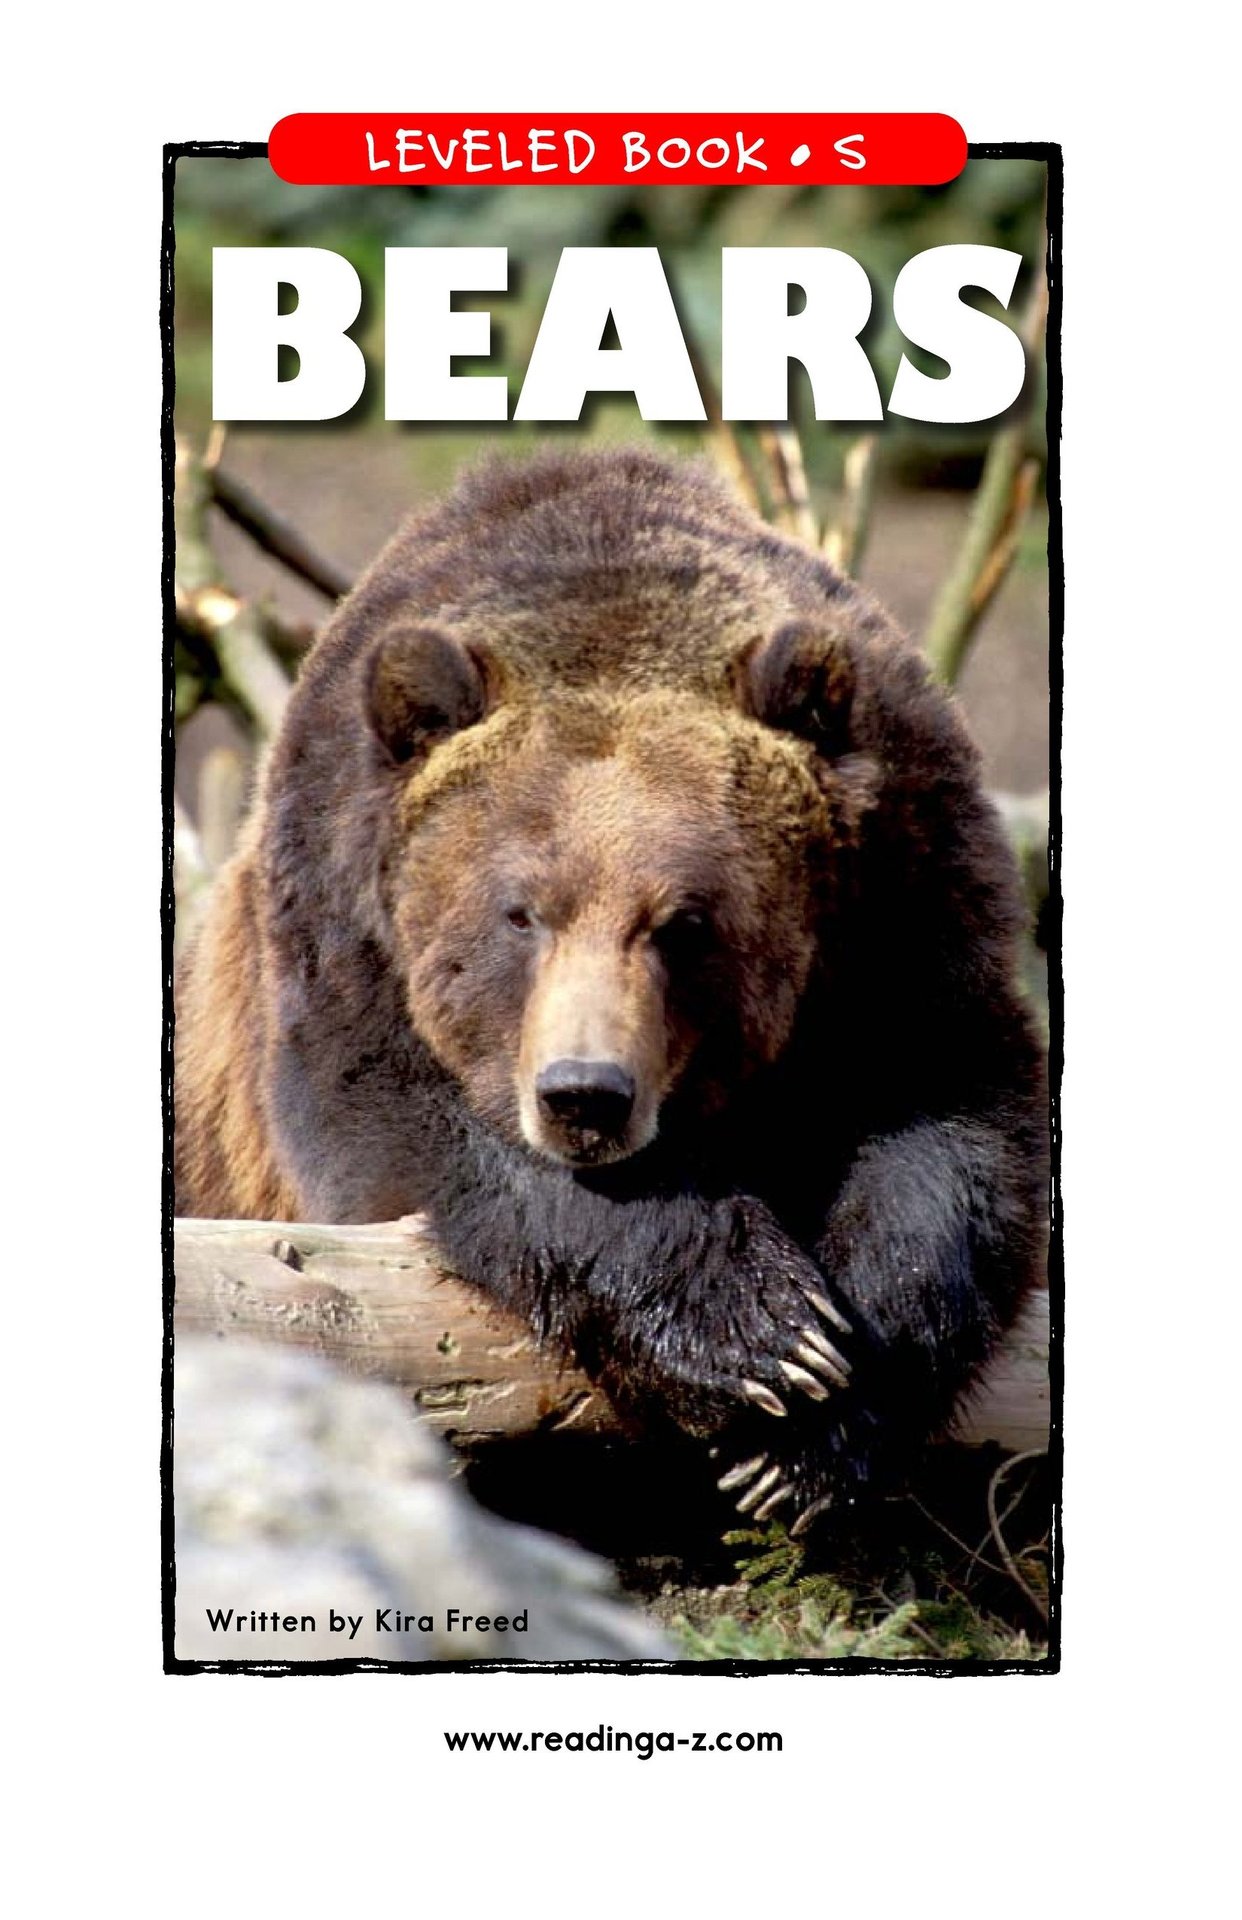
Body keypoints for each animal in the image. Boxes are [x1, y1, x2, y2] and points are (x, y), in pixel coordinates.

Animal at [175, 444, 1048, 1533]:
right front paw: (755, 1333)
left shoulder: (910, 907)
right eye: (521, 913)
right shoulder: (340, 932)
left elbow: (951, 1130)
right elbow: (424, 1138)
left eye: (683, 921)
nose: (585, 1095)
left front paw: (809, 1428)